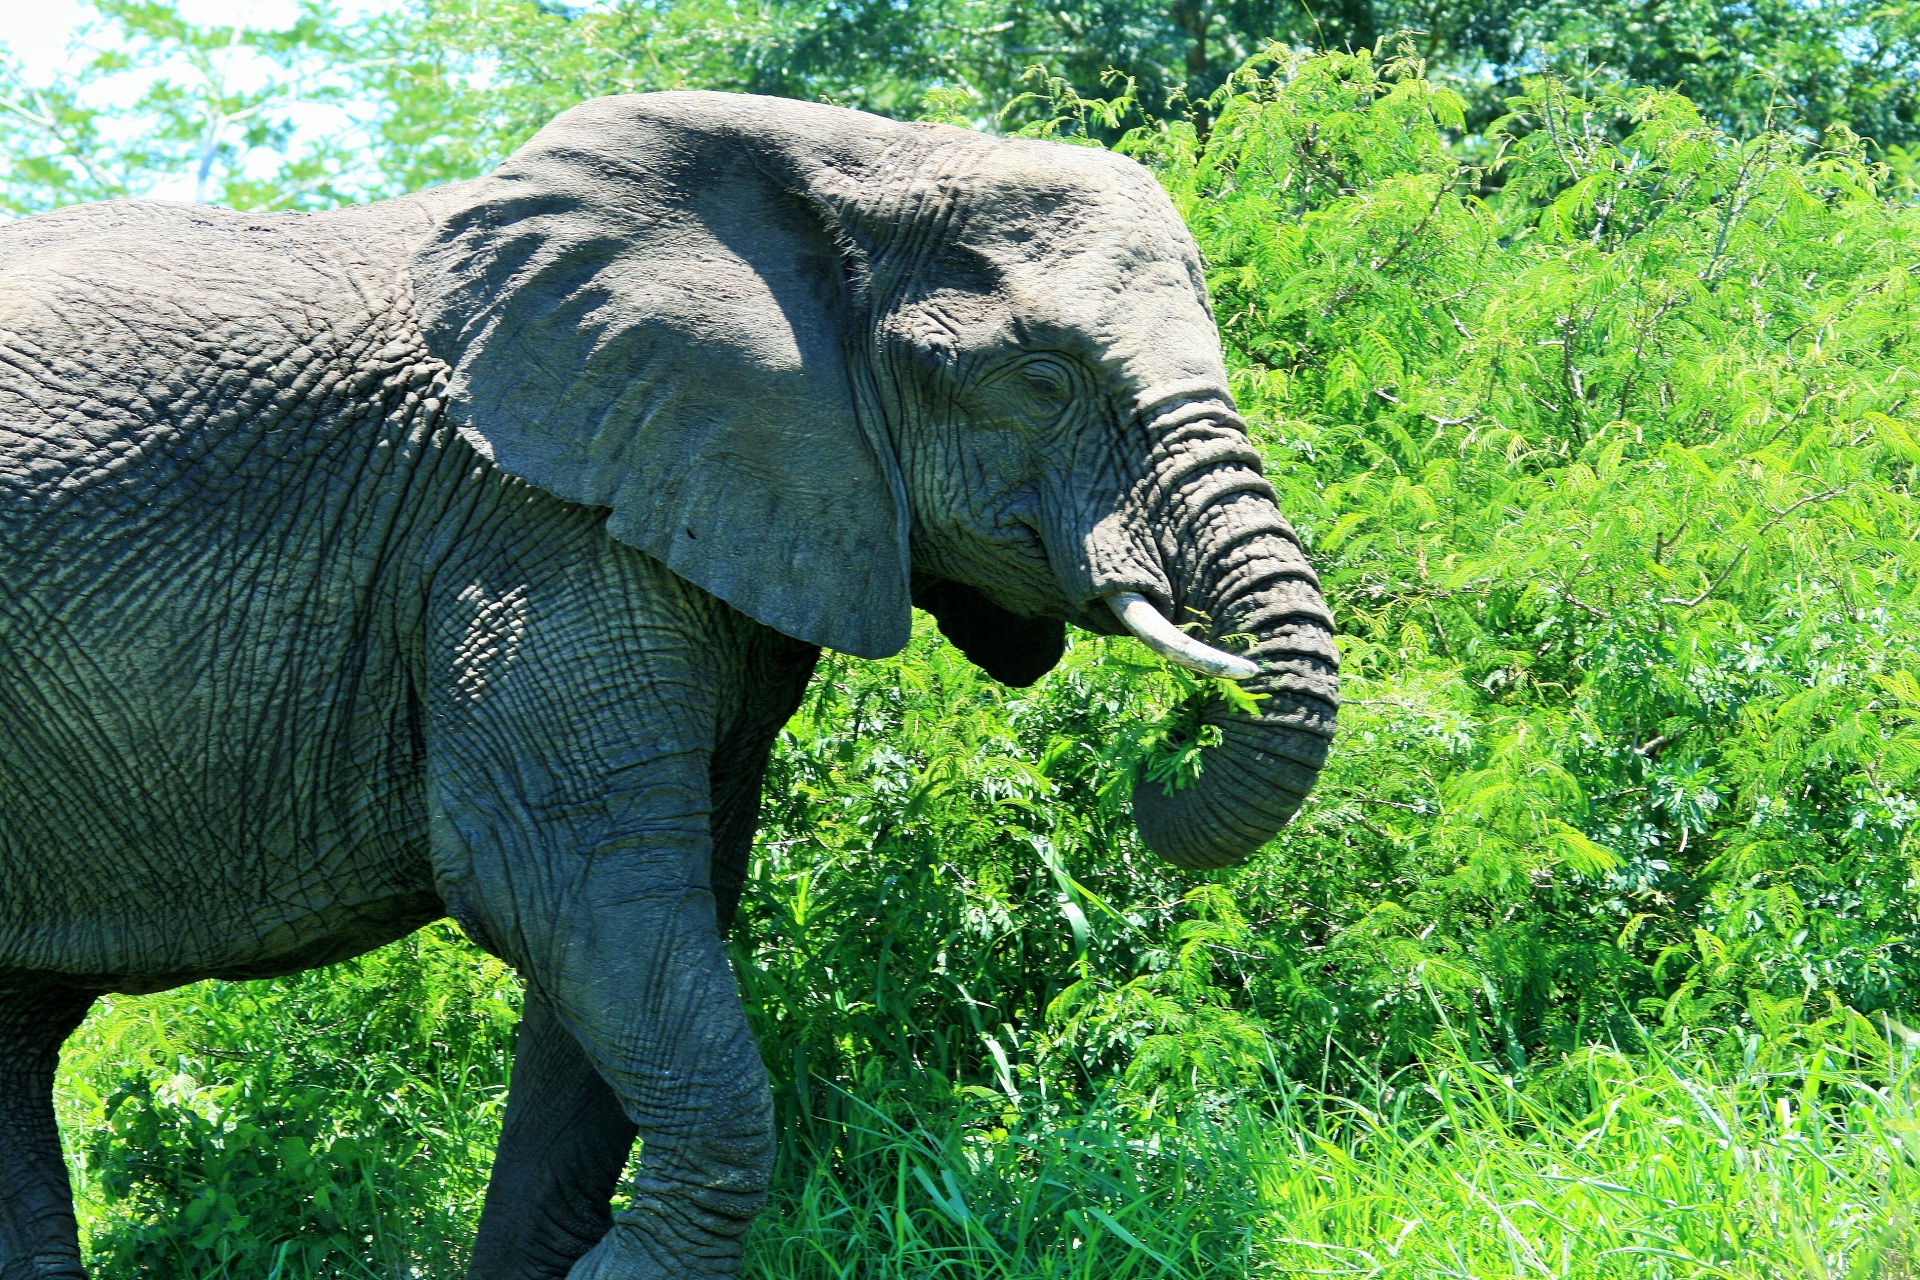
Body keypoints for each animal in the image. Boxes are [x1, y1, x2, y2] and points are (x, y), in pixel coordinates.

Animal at [0, 92, 1344, 1280]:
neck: (865, 160)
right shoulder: (529, 530)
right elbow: (571, 882)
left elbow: (648, 918)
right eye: (1043, 379)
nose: (1180, 739)